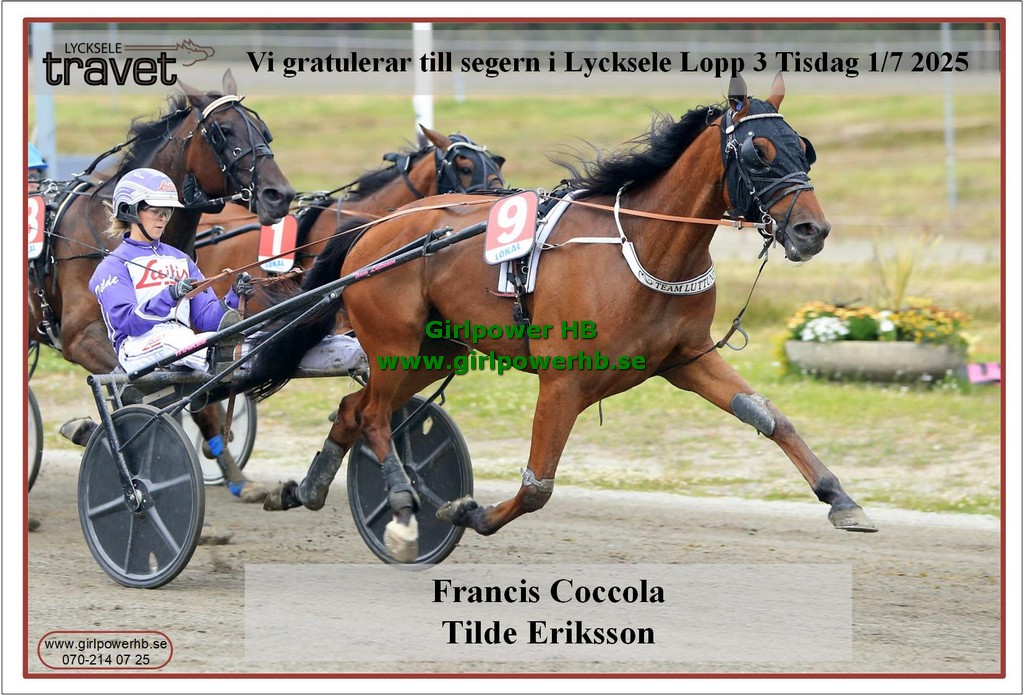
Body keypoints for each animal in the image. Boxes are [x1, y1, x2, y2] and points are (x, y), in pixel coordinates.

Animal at [28, 70, 294, 497]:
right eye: (222, 131)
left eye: (263, 130)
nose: (279, 194)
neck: (116, 234)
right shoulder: (82, 337)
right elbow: (133, 391)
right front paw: (91, 432)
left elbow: (196, 390)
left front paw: (234, 473)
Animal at [243, 74, 877, 563]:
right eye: (756, 153)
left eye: (804, 148)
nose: (812, 231)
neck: (645, 248)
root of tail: (377, 227)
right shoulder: (564, 382)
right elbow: (537, 486)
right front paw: (467, 511)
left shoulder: (687, 358)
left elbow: (770, 417)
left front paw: (842, 500)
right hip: (394, 341)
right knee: (374, 416)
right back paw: (400, 510)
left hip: (434, 351)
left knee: (354, 408)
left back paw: (307, 489)